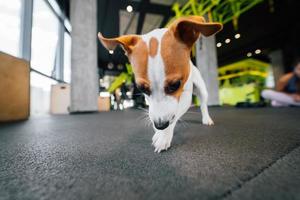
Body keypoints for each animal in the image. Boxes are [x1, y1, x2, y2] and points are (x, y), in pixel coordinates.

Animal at [98, 16, 223, 153]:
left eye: (175, 85)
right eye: (142, 88)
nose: (160, 125)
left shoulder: (185, 98)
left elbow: (175, 114)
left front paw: (164, 136)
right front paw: (159, 132)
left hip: (202, 89)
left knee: (203, 105)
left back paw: (206, 118)